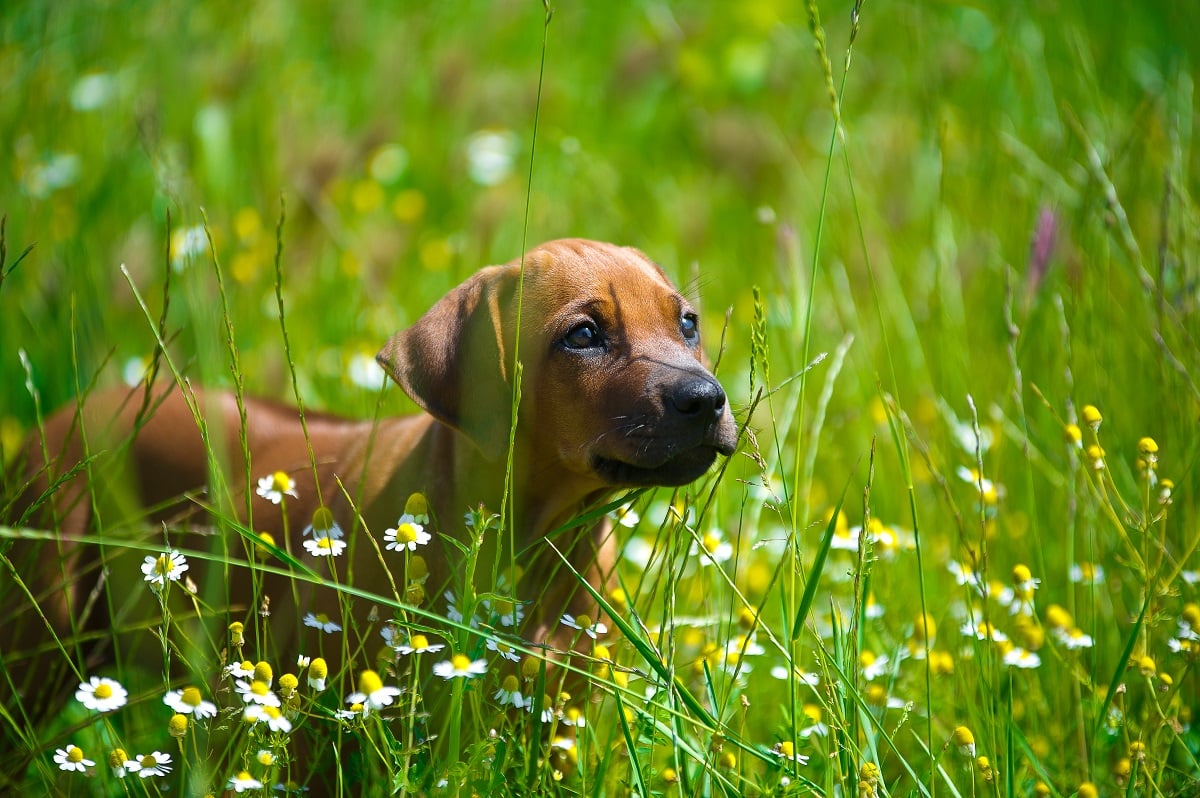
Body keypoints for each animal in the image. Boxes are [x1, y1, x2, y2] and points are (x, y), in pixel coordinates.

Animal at [4, 236, 739, 715]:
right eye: (583, 335)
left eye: (688, 323)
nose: (706, 400)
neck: (541, 542)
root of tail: (61, 419)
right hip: (37, 641)